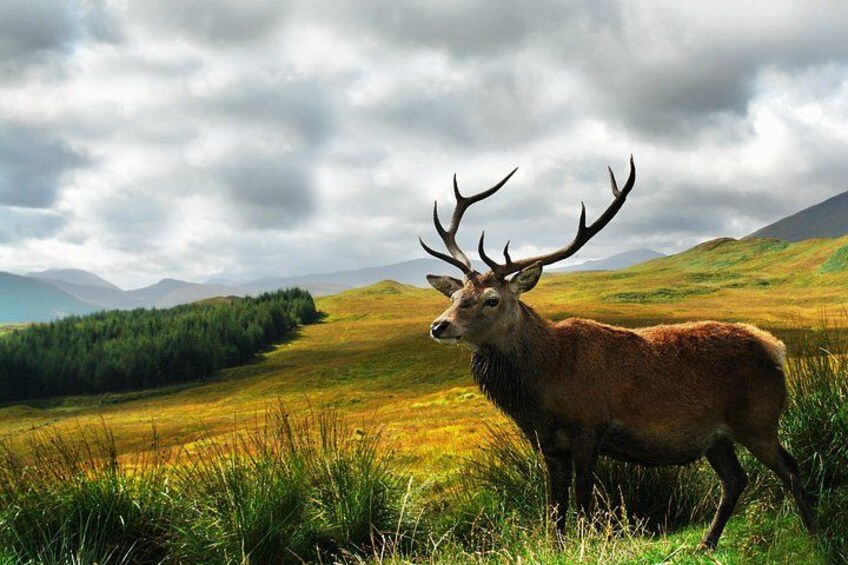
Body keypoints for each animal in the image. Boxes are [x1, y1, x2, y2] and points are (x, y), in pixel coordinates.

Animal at [419, 156, 817, 549]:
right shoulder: (547, 443)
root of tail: (775, 348)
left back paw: (813, 533)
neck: (543, 387)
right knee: (736, 479)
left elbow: (583, 500)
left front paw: (587, 544)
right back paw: (706, 542)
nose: (439, 326)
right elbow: (554, 506)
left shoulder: (588, 427)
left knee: (790, 466)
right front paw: (559, 547)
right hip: (715, 438)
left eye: (492, 299)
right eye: (455, 296)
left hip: (759, 419)